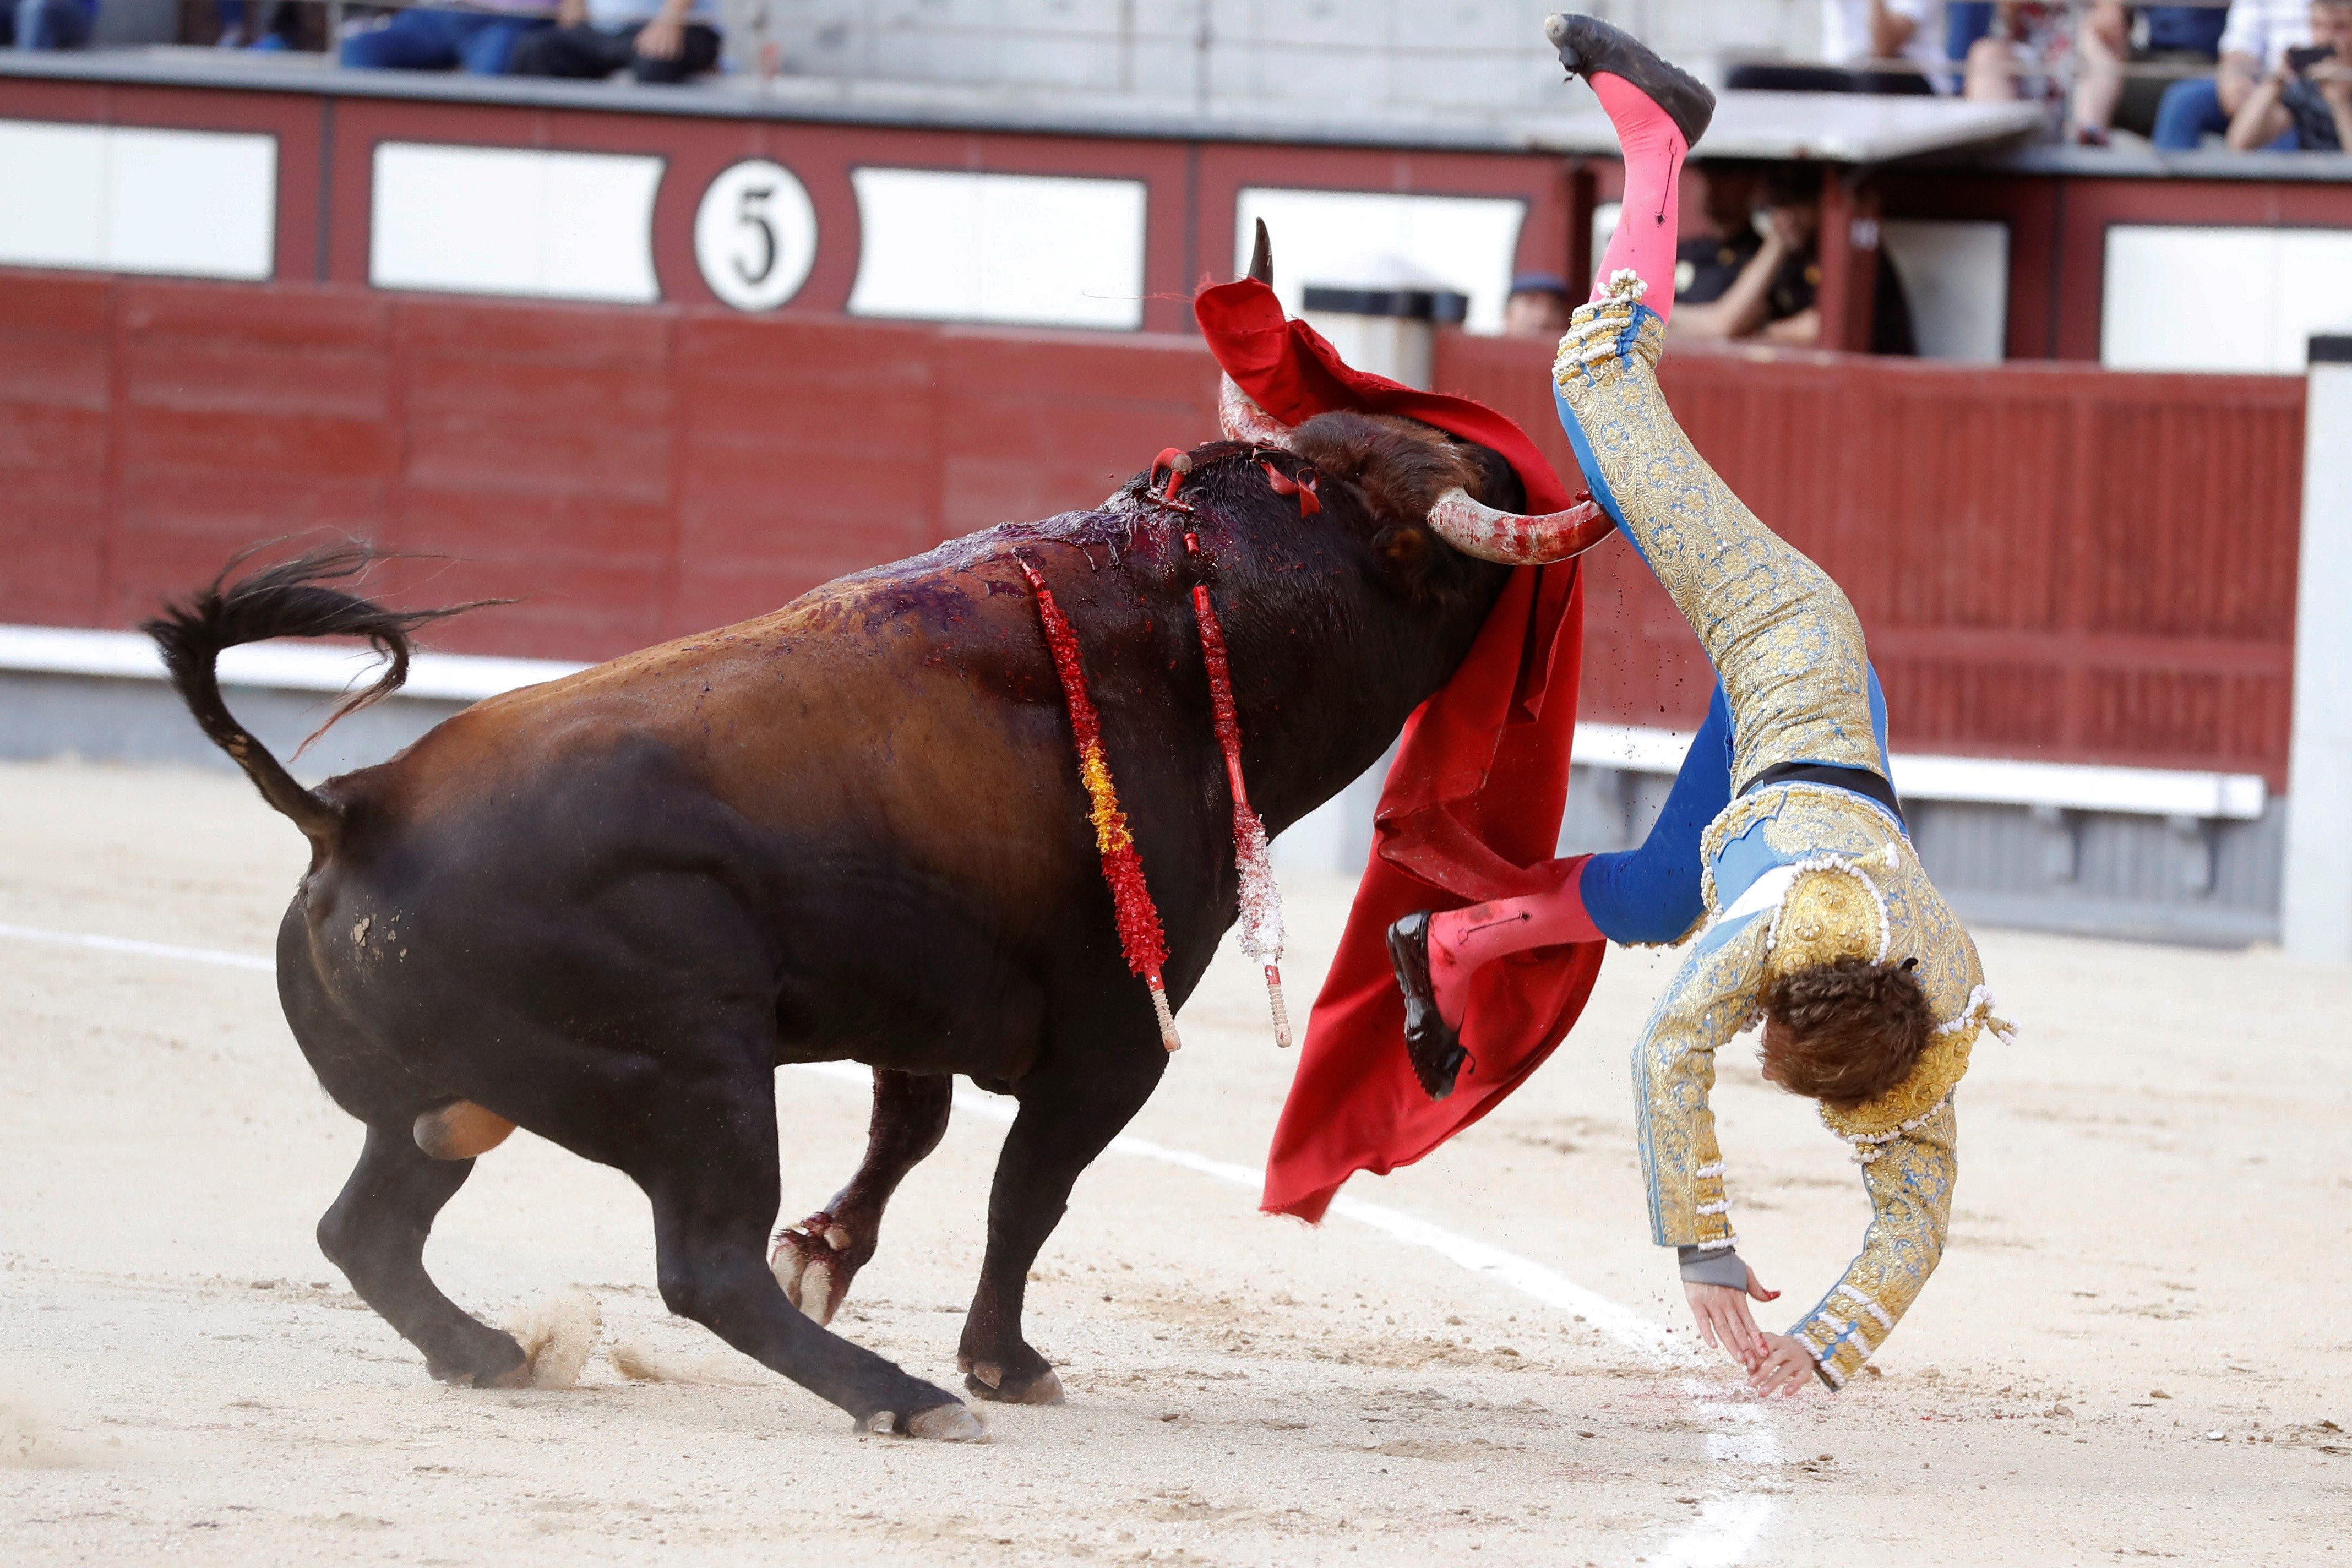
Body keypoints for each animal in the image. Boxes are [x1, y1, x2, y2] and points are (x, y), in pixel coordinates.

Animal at [142, 251, 1580, 1439]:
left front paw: (829, 1250)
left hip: (455, 1098)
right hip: (697, 1071)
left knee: (367, 1227)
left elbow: (916, 1133)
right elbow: (1026, 1185)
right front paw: (1002, 1360)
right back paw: (907, 1397)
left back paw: (492, 1350)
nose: (1527, 484)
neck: (1197, 620)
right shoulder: (1114, 1031)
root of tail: (351, 807)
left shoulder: (925, 996)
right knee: (699, 1265)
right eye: (1441, 544)